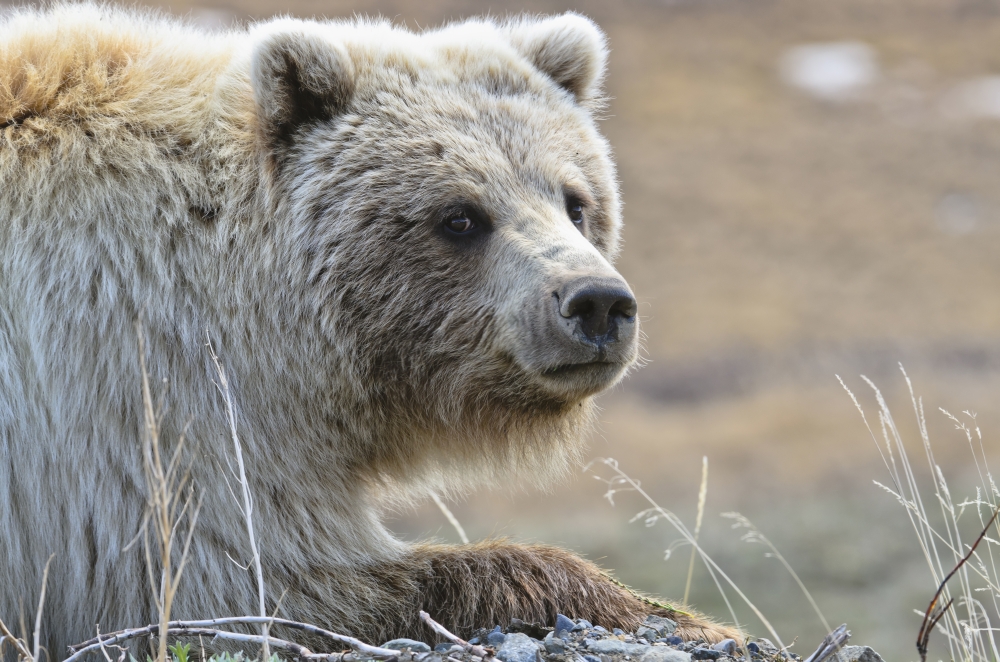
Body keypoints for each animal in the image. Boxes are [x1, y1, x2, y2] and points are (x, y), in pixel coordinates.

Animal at [0, 4, 738, 659]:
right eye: (460, 216)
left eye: (576, 201)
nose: (598, 303)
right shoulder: (133, 393)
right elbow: (249, 582)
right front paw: (687, 618)